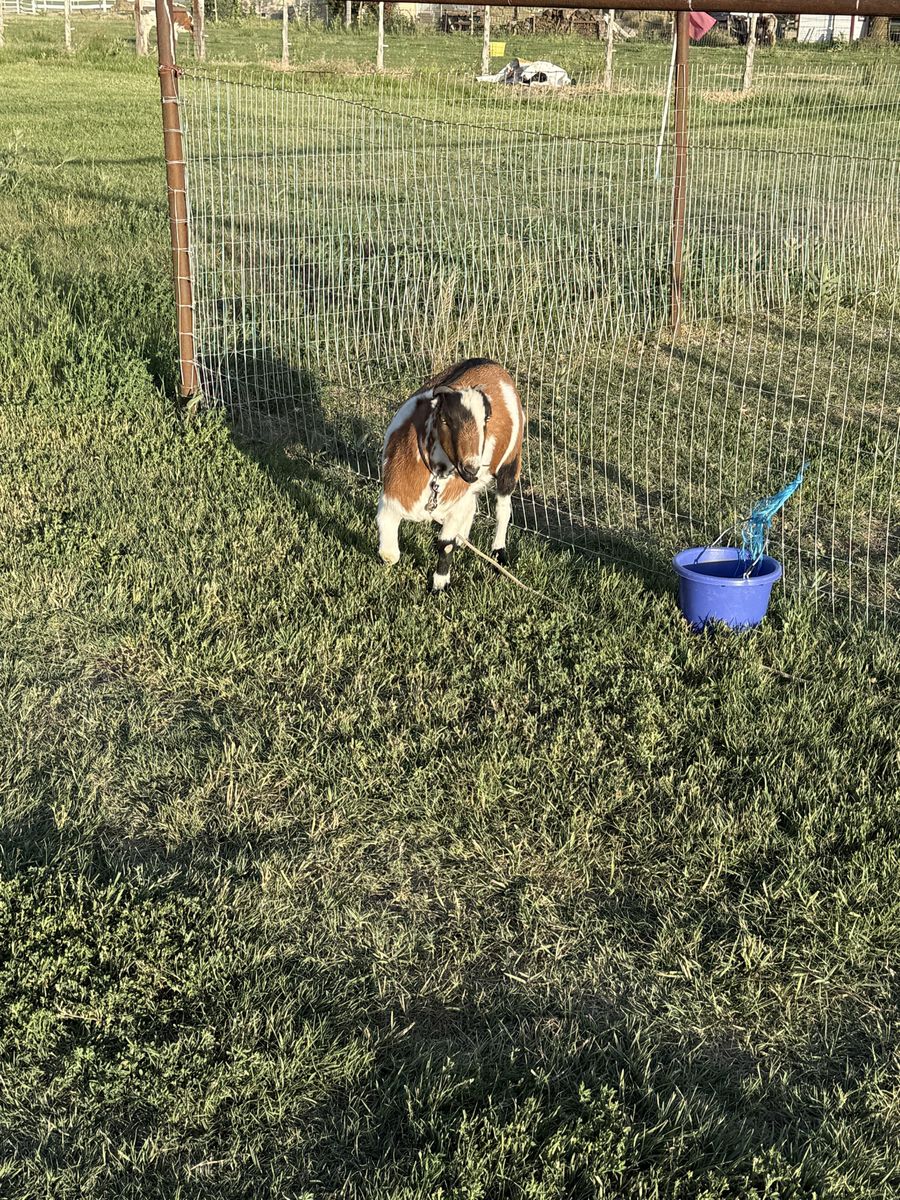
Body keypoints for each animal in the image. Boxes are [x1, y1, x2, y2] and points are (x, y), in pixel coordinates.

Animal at [377, 358, 525, 593]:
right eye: (446, 420)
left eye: (486, 419)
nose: (471, 468)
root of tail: (491, 363)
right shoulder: (390, 500)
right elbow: (389, 555)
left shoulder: (455, 505)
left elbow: (445, 546)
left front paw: (439, 585)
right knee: (472, 503)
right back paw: (464, 541)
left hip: (511, 461)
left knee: (503, 509)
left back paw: (498, 553)